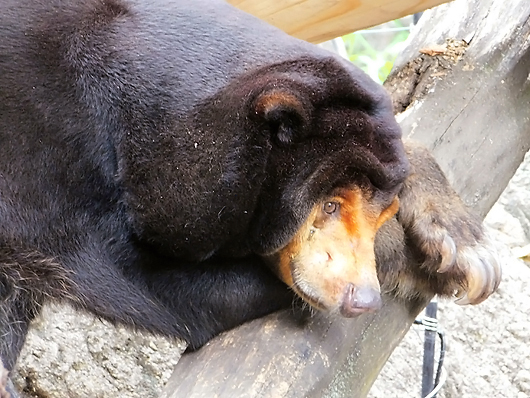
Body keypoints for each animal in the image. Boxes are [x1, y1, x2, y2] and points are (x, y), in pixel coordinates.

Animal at [0, 0, 496, 394]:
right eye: (329, 204)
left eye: (380, 211)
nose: (363, 299)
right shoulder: (46, 166)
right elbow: (128, 274)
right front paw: (402, 255)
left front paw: (463, 251)